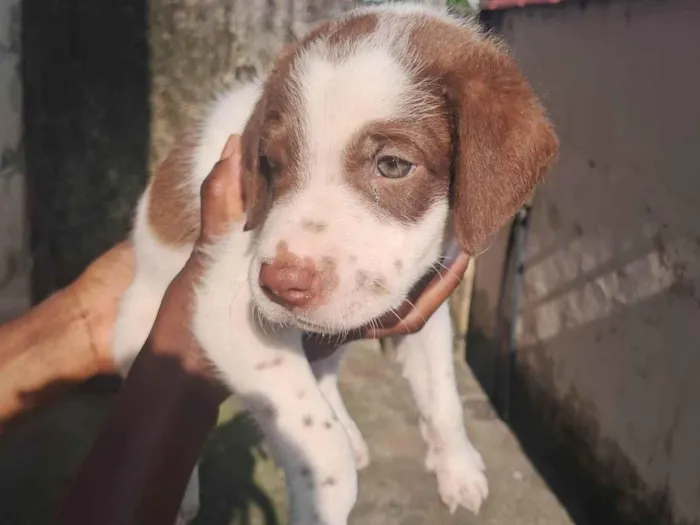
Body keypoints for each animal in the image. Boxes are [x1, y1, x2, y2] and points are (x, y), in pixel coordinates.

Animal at [110, 2, 556, 520]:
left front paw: (458, 467)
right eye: (271, 162)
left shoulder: (421, 298)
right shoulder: (226, 309)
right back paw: (182, 495)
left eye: (393, 165)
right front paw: (321, 504)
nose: (281, 285)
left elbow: (443, 396)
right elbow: (321, 445)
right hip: (140, 327)